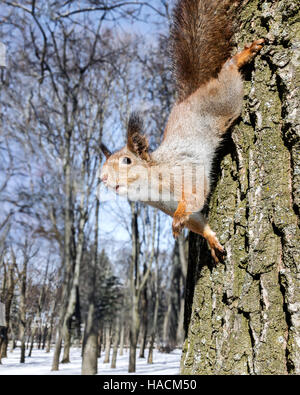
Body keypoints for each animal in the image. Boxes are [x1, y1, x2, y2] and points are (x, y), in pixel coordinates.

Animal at [99, 1, 264, 264]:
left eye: (127, 161)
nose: (102, 178)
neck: (152, 183)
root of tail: (190, 96)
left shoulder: (185, 172)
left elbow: (195, 195)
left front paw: (178, 220)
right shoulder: (165, 204)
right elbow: (196, 220)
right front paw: (210, 239)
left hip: (224, 99)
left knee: (228, 76)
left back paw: (243, 56)